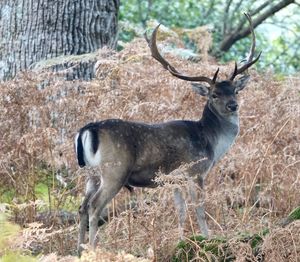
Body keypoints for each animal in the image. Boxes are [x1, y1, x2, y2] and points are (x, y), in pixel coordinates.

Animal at [74, 13, 260, 255]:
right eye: (214, 94)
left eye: (235, 90)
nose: (233, 105)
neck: (211, 143)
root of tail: (89, 129)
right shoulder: (194, 171)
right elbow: (199, 209)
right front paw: (208, 239)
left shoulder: (174, 181)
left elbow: (180, 211)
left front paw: (181, 243)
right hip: (115, 170)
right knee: (95, 206)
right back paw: (94, 250)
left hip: (90, 174)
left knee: (82, 206)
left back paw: (78, 250)